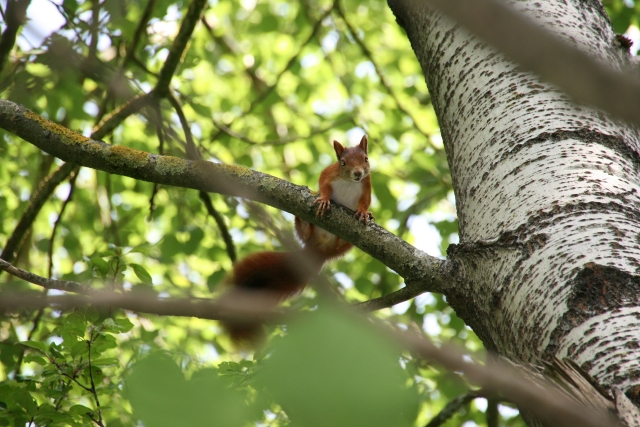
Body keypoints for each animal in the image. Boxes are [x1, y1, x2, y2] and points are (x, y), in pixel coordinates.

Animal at [225, 135, 376, 342]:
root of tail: (320, 248)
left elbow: (365, 202)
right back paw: (304, 222)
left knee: (341, 244)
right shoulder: (329, 173)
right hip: (307, 232)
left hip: (344, 246)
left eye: (366, 159)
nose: (358, 173)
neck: (349, 182)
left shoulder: (366, 186)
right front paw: (324, 199)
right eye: (342, 162)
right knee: (304, 233)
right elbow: (323, 184)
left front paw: (363, 212)